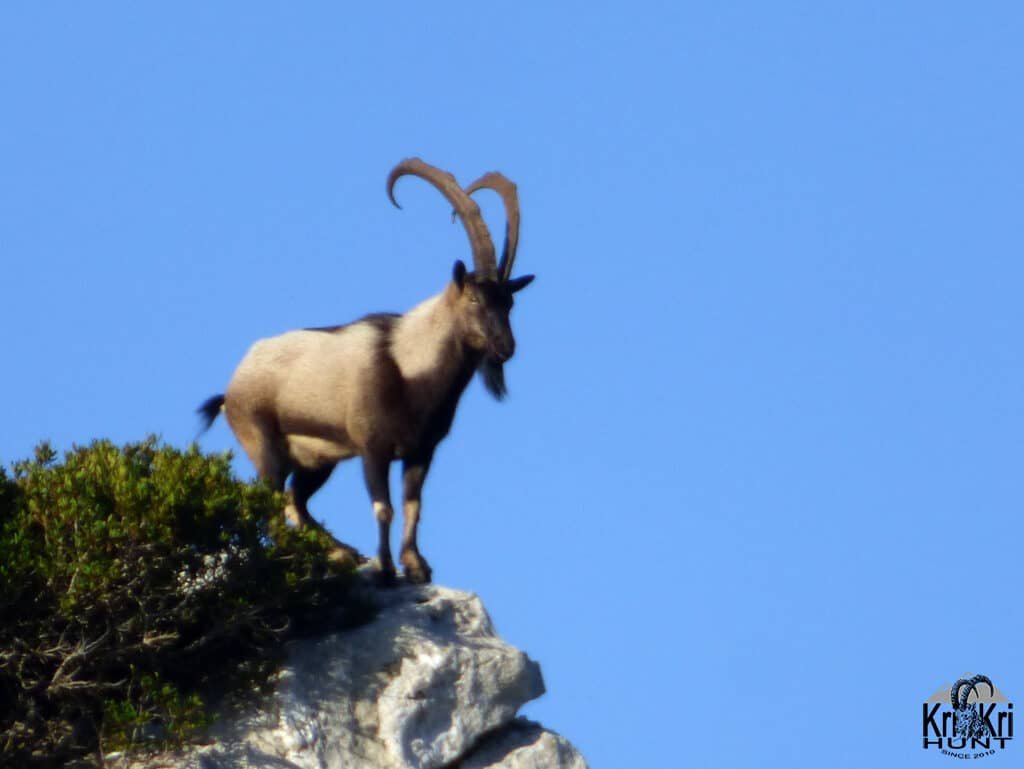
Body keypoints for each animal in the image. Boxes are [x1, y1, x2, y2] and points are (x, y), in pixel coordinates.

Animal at [197, 159, 536, 585]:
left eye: (509, 303)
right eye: (474, 298)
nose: (505, 347)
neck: (412, 369)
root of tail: (231, 388)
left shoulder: (421, 451)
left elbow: (413, 506)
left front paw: (416, 566)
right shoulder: (372, 448)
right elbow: (384, 507)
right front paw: (387, 570)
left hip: (315, 460)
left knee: (296, 502)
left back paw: (340, 552)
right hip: (264, 443)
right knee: (273, 505)